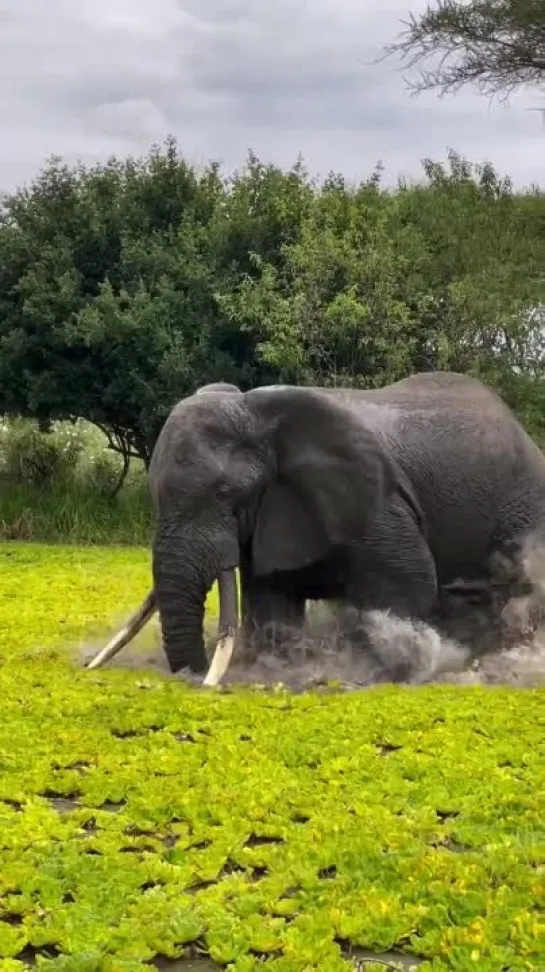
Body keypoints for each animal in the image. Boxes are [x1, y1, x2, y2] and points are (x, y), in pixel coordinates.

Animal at [86, 370, 545, 684]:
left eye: (225, 492)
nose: (192, 676)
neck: (256, 413)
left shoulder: (376, 503)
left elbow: (409, 582)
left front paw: (377, 671)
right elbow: (272, 598)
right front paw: (279, 665)